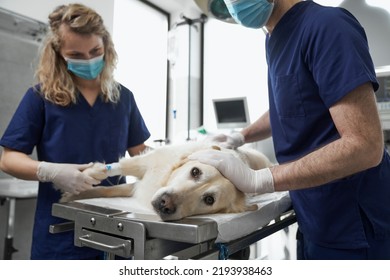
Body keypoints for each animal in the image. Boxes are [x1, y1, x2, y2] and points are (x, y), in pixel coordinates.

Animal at [61, 142, 272, 221]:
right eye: (195, 172)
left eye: (209, 200)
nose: (165, 204)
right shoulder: (144, 165)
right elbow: (112, 172)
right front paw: (80, 184)